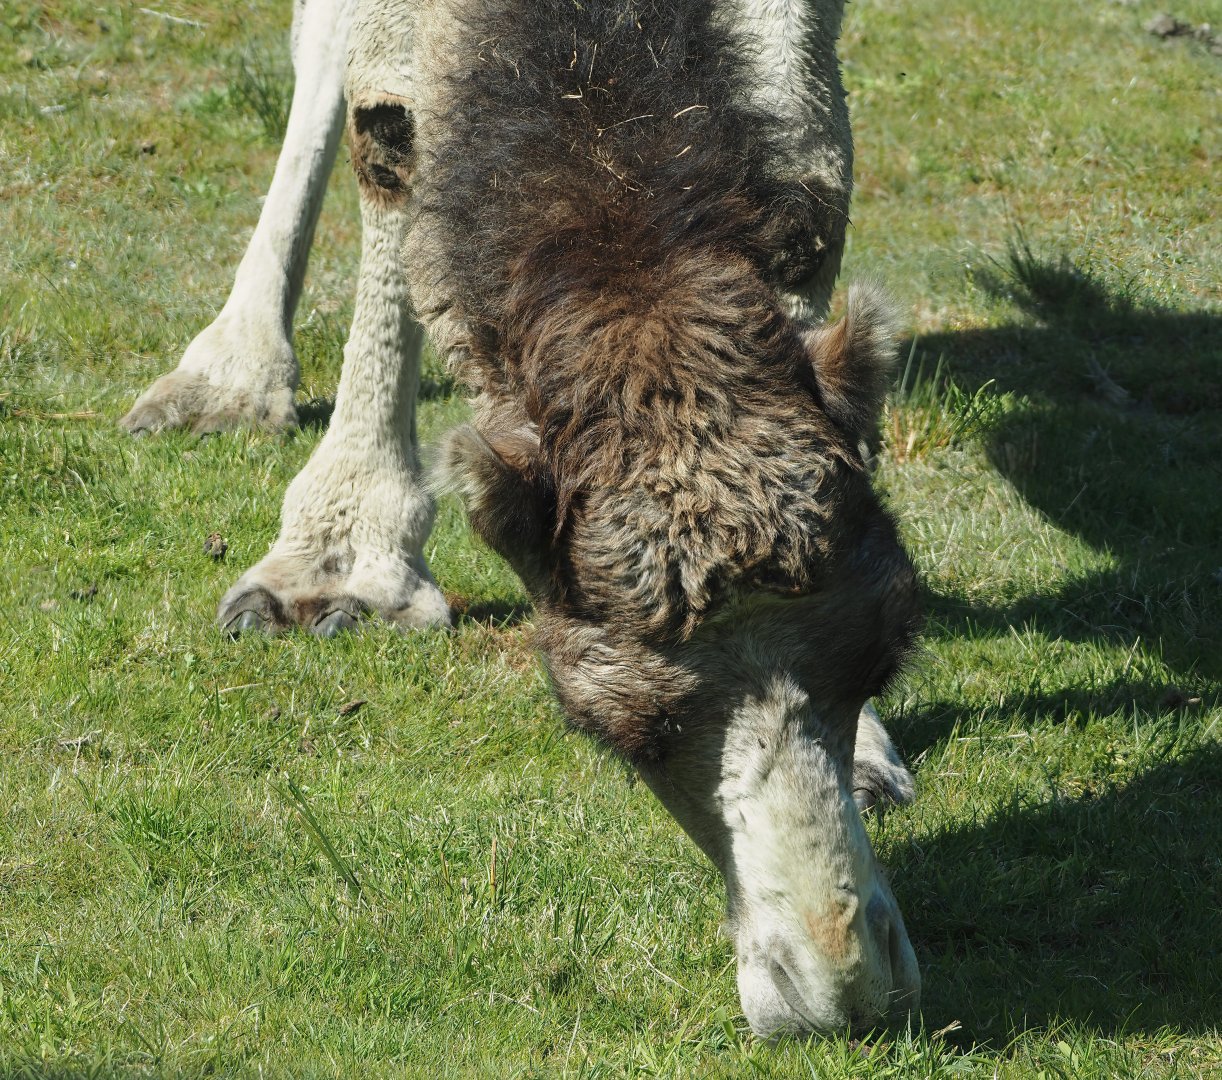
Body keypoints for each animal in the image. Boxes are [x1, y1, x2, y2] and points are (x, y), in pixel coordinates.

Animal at [122, 0, 922, 1036]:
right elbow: (388, 144)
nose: (841, 995)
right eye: (627, 726)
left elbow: (811, 171)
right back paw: (231, 373)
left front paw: (867, 755)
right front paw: (341, 564)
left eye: (885, 654)